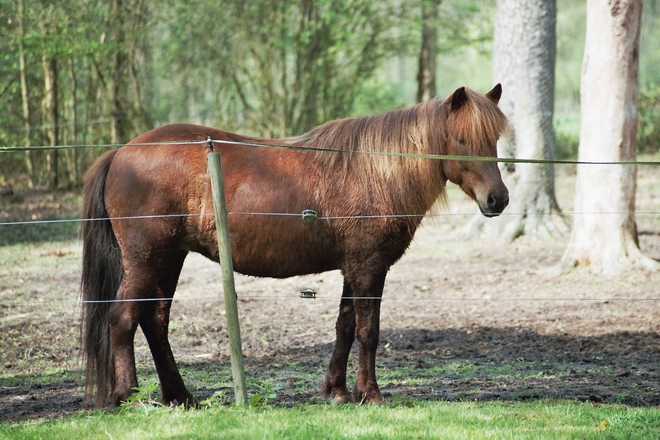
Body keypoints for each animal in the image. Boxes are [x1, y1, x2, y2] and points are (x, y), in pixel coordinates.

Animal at [80, 84, 508, 408]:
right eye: (462, 140)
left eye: (494, 140)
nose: (497, 199)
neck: (375, 171)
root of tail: (120, 152)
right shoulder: (369, 268)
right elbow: (368, 331)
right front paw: (369, 394)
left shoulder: (353, 268)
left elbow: (344, 327)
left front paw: (337, 392)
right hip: (146, 260)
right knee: (122, 319)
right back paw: (127, 396)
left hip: (169, 259)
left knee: (155, 323)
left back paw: (180, 396)